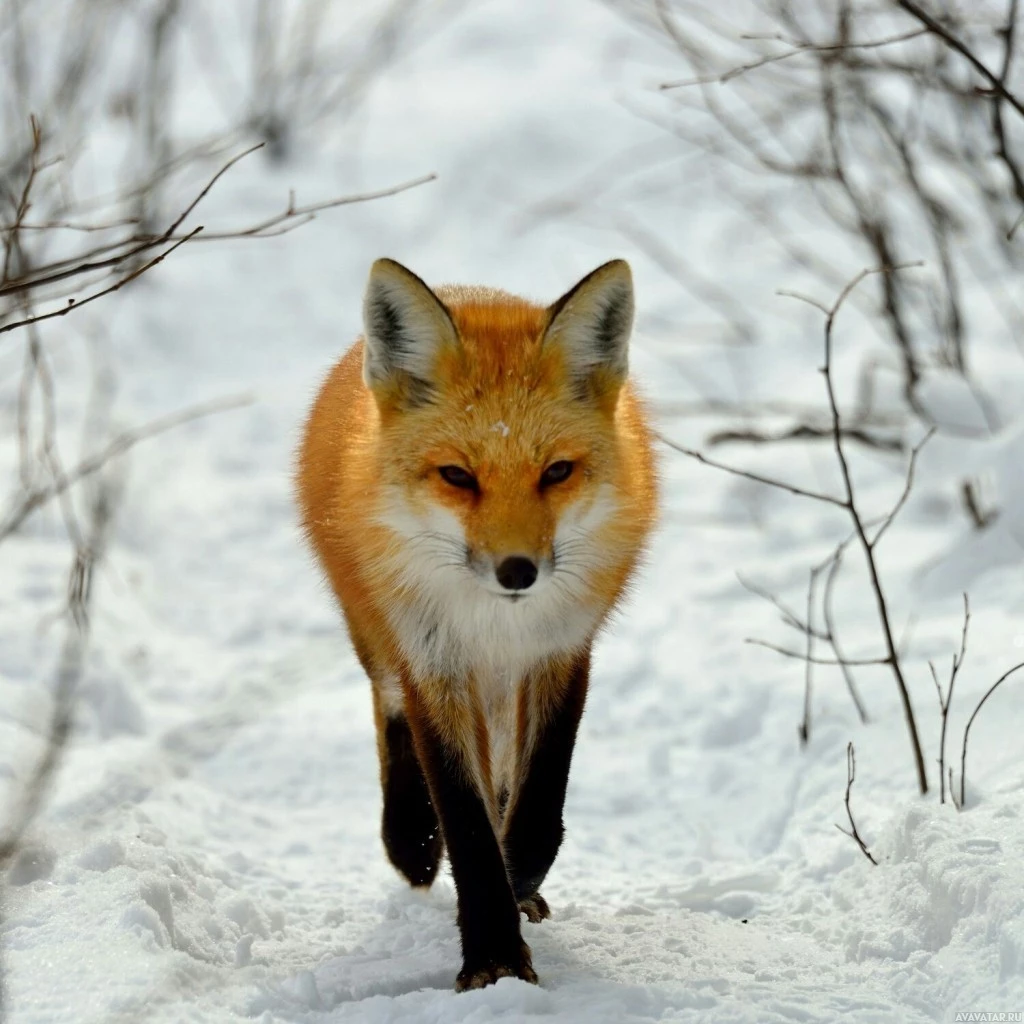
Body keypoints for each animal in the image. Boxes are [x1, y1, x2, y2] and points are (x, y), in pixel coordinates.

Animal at [294, 256, 663, 991]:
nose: (518, 572)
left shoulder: (561, 648)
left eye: (557, 472)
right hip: (381, 638)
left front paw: (518, 882)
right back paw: (409, 840)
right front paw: (493, 953)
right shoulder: (433, 659)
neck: (496, 625)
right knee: (390, 712)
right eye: (458, 477)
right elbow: (463, 816)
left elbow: (540, 792)